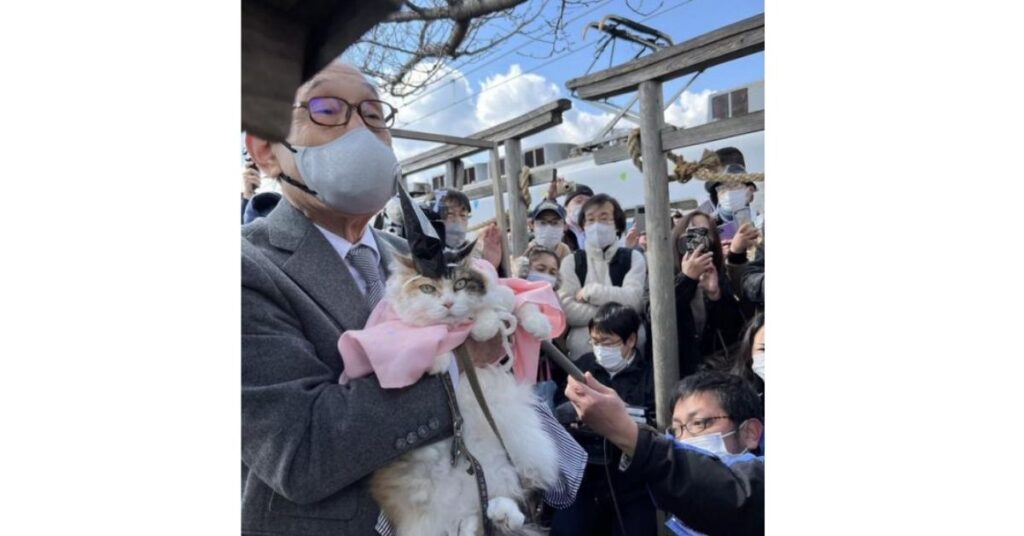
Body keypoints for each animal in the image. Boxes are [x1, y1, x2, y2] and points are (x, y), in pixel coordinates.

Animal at [370, 249, 561, 536]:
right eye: (428, 288)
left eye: (459, 284)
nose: (448, 303)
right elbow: (431, 340)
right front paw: (441, 360)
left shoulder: (505, 293)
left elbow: (520, 305)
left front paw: (535, 326)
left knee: (494, 513)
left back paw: (500, 513)